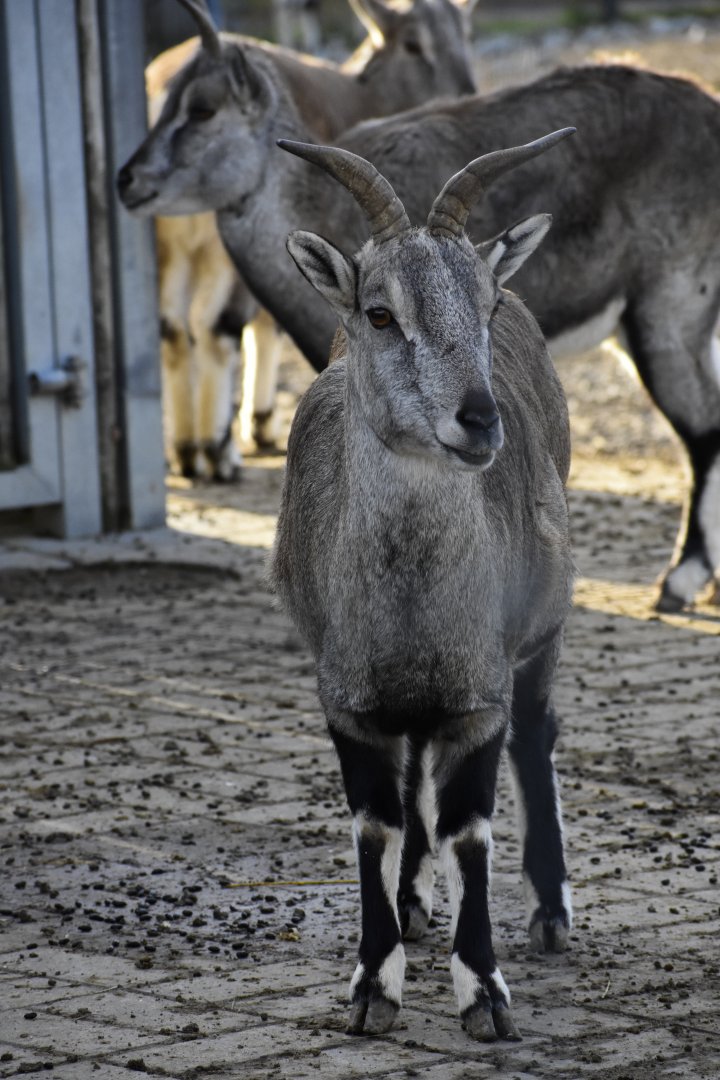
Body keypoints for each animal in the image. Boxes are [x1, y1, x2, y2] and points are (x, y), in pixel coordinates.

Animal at [269, 130, 575, 1040]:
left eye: (485, 309)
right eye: (380, 313)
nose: (478, 420)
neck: (414, 610)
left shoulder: (478, 692)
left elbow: (471, 827)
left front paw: (485, 992)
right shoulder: (349, 695)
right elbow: (377, 822)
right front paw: (375, 982)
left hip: (543, 631)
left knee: (536, 735)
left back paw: (550, 910)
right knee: (413, 785)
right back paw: (410, 903)